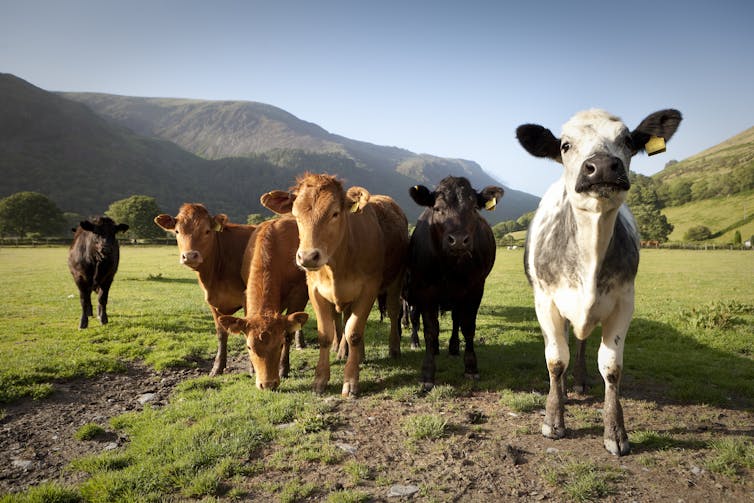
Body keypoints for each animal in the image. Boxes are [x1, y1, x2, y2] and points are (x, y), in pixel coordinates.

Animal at [154, 204, 256, 376]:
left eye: (207, 231)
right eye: (177, 231)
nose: (190, 256)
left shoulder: (248, 297)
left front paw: (253, 369)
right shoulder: (212, 302)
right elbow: (221, 334)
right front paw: (217, 368)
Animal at [216, 216, 309, 390]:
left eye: (279, 345)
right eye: (249, 347)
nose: (267, 384)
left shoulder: (299, 294)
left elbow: (288, 332)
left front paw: (284, 369)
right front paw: (252, 369)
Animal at [261, 173, 408, 397]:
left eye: (335, 213)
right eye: (295, 214)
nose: (307, 256)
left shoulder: (369, 289)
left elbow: (354, 332)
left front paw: (351, 381)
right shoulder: (315, 290)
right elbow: (326, 334)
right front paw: (320, 379)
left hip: (396, 280)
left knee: (392, 312)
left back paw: (393, 348)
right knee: (345, 320)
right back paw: (351, 353)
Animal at [404, 176, 504, 390]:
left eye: (474, 208)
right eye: (438, 208)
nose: (458, 240)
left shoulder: (475, 289)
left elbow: (468, 327)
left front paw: (471, 367)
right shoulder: (425, 291)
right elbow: (430, 330)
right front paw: (428, 372)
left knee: (457, 320)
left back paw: (453, 347)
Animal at [516, 108, 682, 455]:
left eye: (628, 140)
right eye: (565, 145)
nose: (603, 166)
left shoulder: (624, 302)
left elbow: (611, 367)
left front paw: (615, 432)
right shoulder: (545, 301)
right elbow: (555, 359)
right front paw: (553, 420)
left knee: (580, 343)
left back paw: (578, 381)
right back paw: (565, 389)